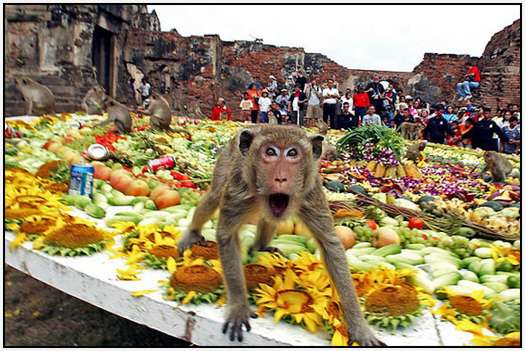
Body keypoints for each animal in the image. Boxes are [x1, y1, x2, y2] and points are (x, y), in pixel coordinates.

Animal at [178, 125, 382, 346]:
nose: (281, 178)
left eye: (292, 153)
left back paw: (260, 247)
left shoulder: (311, 193)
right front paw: (239, 307)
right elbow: (227, 236)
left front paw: (359, 327)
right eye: (270, 152)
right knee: (214, 196)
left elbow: (330, 245)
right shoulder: (239, 189)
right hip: (226, 160)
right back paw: (193, 232)